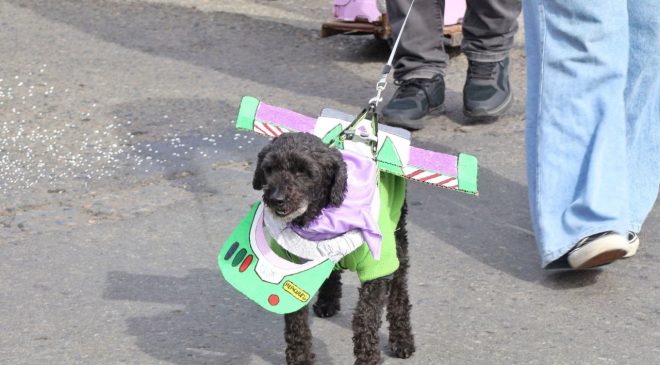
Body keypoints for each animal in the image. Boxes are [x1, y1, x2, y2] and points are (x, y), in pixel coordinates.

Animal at [253, 132, 412, 362]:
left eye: (304, 171)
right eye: (269, 168)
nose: (276, 198)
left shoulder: (377, 268)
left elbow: (365, 318)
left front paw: (368, 358)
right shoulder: (293, 269)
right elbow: (296, 319)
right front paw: (300, 357)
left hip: (398, 236)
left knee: (400, 287)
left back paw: (402, 339)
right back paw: (327, 302)